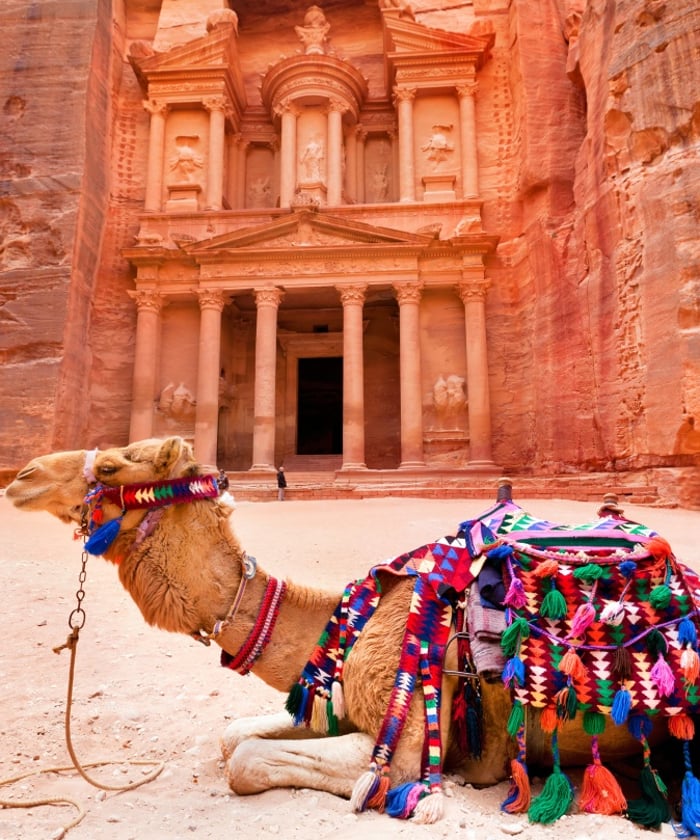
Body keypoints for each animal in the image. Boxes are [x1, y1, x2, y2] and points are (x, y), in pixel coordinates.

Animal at [5, 437, 694, 827]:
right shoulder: (330, 698)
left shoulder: (409, 744)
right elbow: (233, 738)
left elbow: (247, 761)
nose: (22, 475)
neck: (350, 620)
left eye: (112, 465)